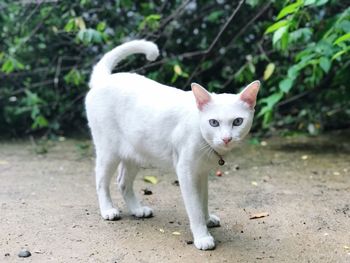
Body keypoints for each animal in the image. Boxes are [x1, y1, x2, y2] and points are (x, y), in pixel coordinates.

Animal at [85, 40, 260, 251]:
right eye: (214, 123)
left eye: (237, 121)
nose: (226, 138)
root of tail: (104, 79)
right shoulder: (186, 172)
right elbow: (194, 208)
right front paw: (202, 236)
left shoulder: (201, 173)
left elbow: (203, 200)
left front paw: (207, 219)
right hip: (109, 151)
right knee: (101, 181)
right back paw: (108, 210)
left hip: (134, 153)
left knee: (122, 182)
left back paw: (137, 209)